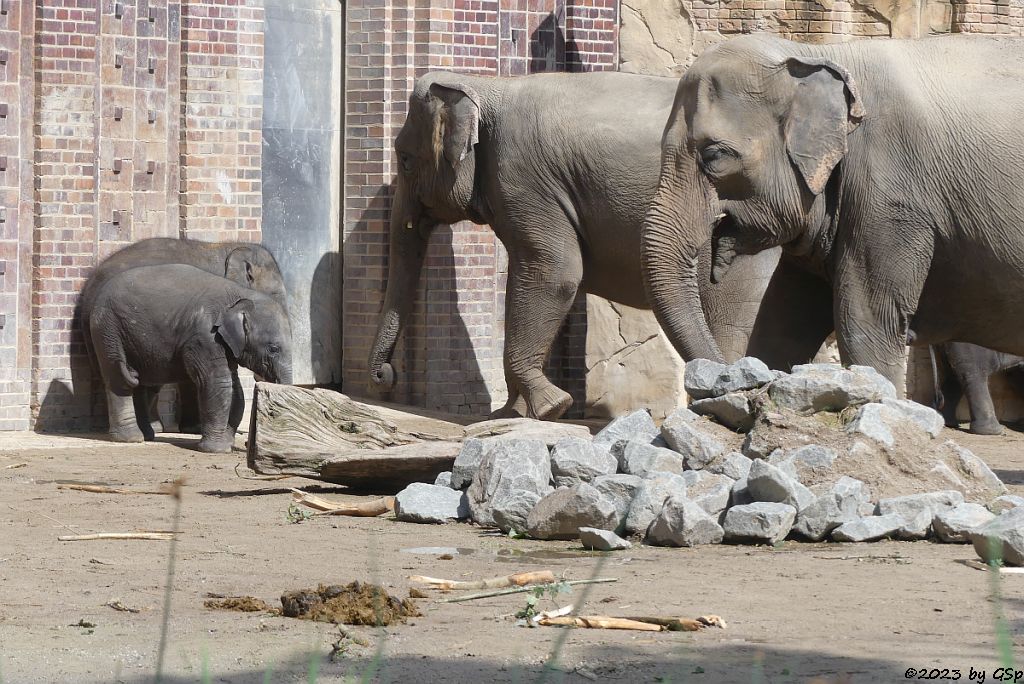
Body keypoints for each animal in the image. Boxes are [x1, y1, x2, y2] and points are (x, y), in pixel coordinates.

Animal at [372, 70, 778, 421]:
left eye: (405, 160)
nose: (385, 376)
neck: (486, 85)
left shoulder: (523, 178)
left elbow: (554, 274)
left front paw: (551, 407)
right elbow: (528, 279)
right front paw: (509, 415)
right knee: (733, 312)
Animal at [643, 34, 1024, 389]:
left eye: (714, 156)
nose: (727, 373)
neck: (813, 53)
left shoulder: (890, 198)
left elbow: (864, 321)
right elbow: (783, 317)